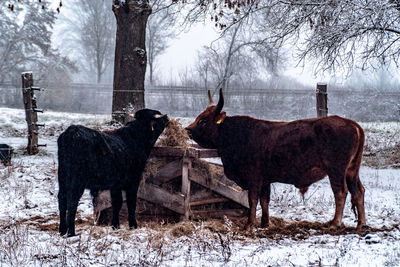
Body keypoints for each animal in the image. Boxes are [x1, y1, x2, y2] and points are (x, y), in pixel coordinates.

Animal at [57, 108, 168, 237]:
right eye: (159, 117)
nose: (167, 118)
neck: (136, 138)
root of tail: (72, 131)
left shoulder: (116, 184)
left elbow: (117, 202)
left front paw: (115, 226)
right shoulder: (133, 180)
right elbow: (131, 202)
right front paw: (133, 225)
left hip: (62, 177)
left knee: (62, 199)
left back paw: (62, 230)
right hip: (76, 180)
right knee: (72, 201)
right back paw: (71, 232)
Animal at [185, 89, 366, 231]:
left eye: (203, 120)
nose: (188, 129)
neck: (237, 135)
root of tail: (351, 123)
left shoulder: (254, 177)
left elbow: (253, 200)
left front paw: (249, 225)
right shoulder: (265, 179)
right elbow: (265, 200)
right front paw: (265, 223)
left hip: (336, 171)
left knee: (340, 192)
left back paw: (335, 223)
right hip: (352, 171)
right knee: (358, 191)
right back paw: (361, 224)